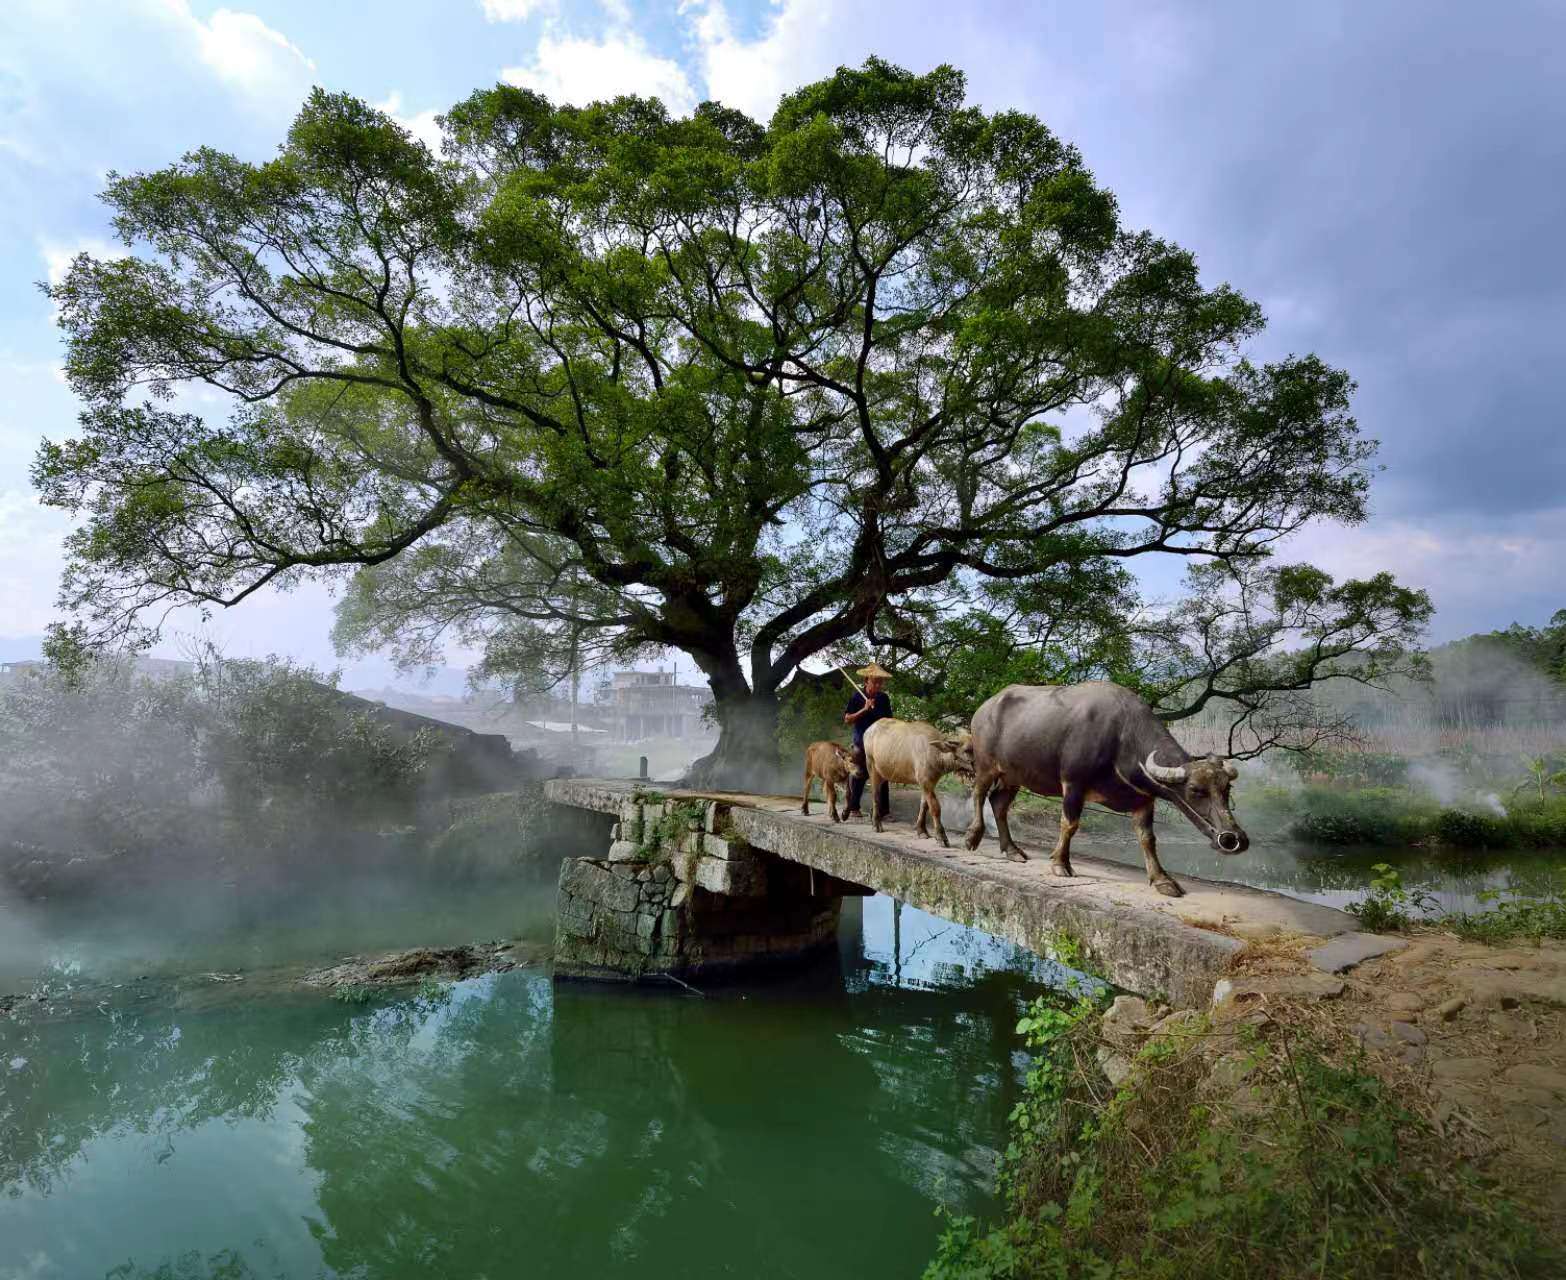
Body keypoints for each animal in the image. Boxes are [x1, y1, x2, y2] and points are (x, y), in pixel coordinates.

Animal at [952, 679, 1246, 896]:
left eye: (1226, 789)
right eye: (1196, 789)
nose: (1235, 839)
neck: (1121, 737)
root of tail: (985, 707)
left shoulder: (1143, 799)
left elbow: (1148, 839)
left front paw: (1162, 880)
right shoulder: (1073, 784)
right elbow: (1069, 824)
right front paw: (1060, 864)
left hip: (1014, 775)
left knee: (999, 804)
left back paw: (1012, 850)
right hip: (987, 765)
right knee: (979, 793)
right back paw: (972, 837)